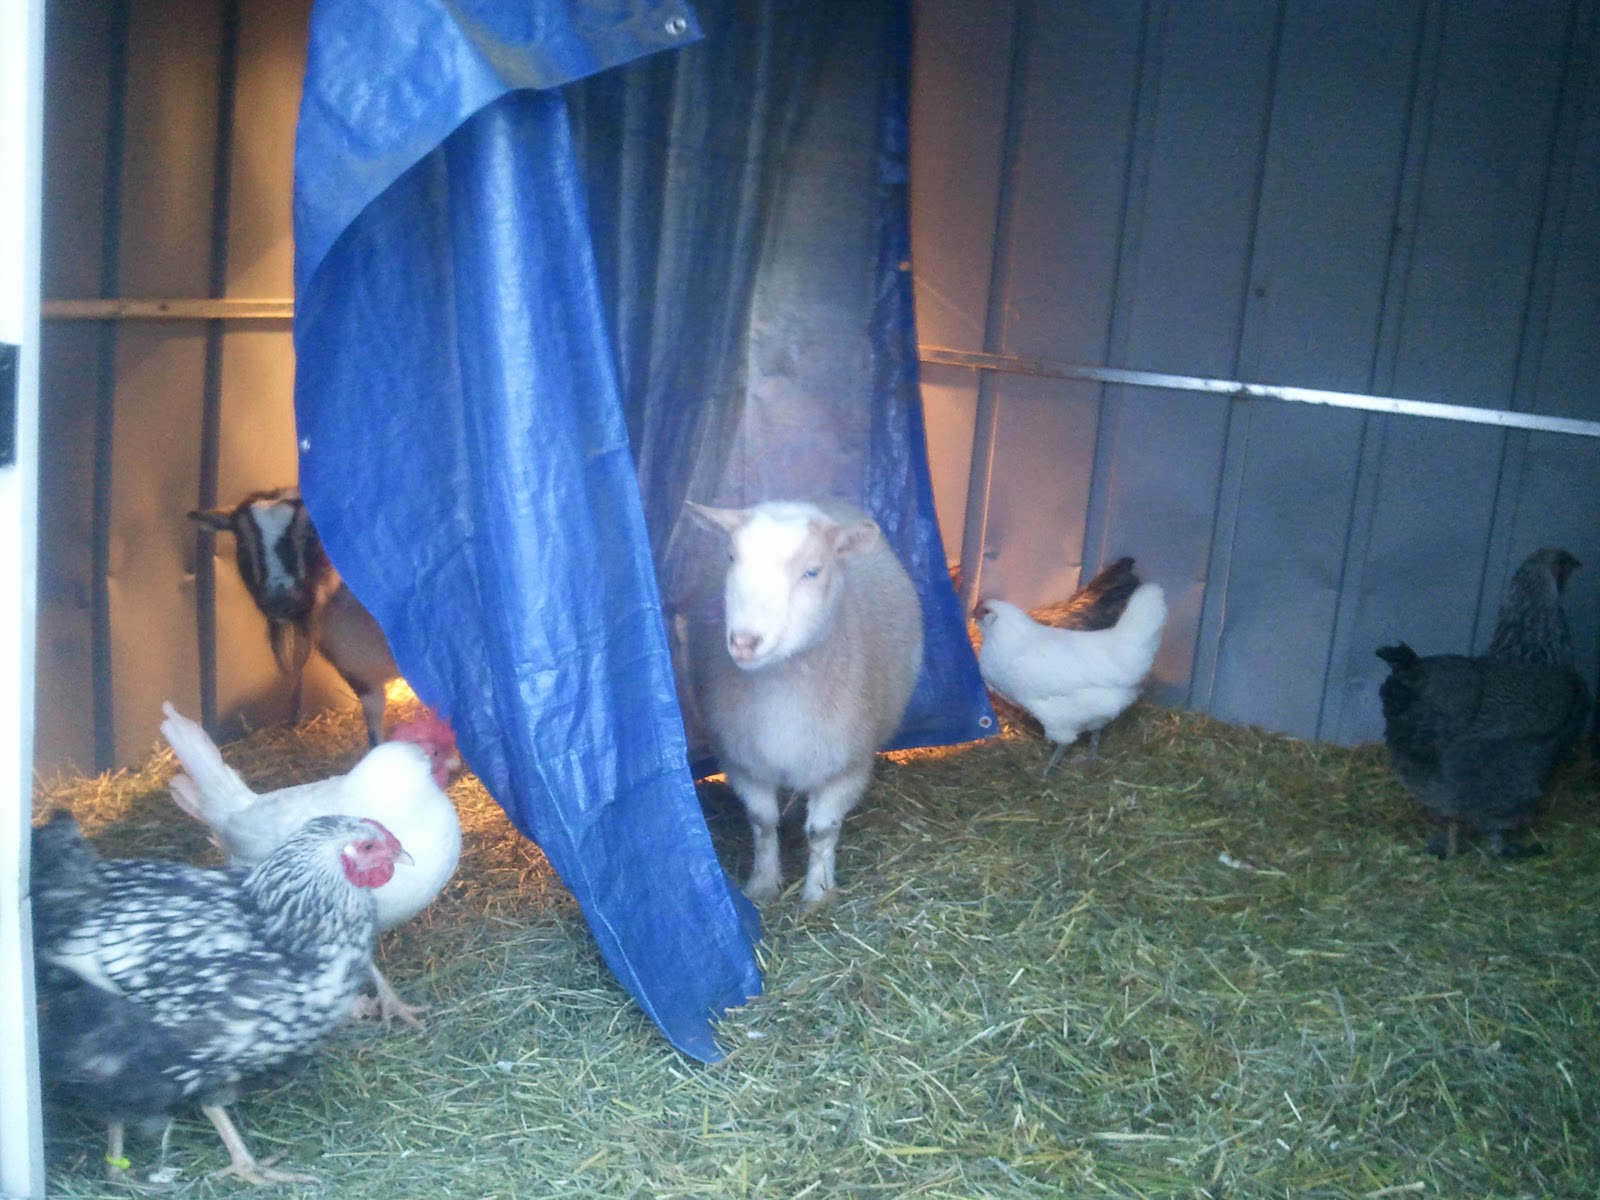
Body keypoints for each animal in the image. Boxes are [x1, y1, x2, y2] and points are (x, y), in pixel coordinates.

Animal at [687, 499, 923, 904]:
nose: (745, 641)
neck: (783, 687)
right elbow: (763, 823)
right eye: (732, 557)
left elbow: (822, 831)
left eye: (812, 571)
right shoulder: (743, 762)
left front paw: (818, 893)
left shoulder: (846, 765)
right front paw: (763, 884)